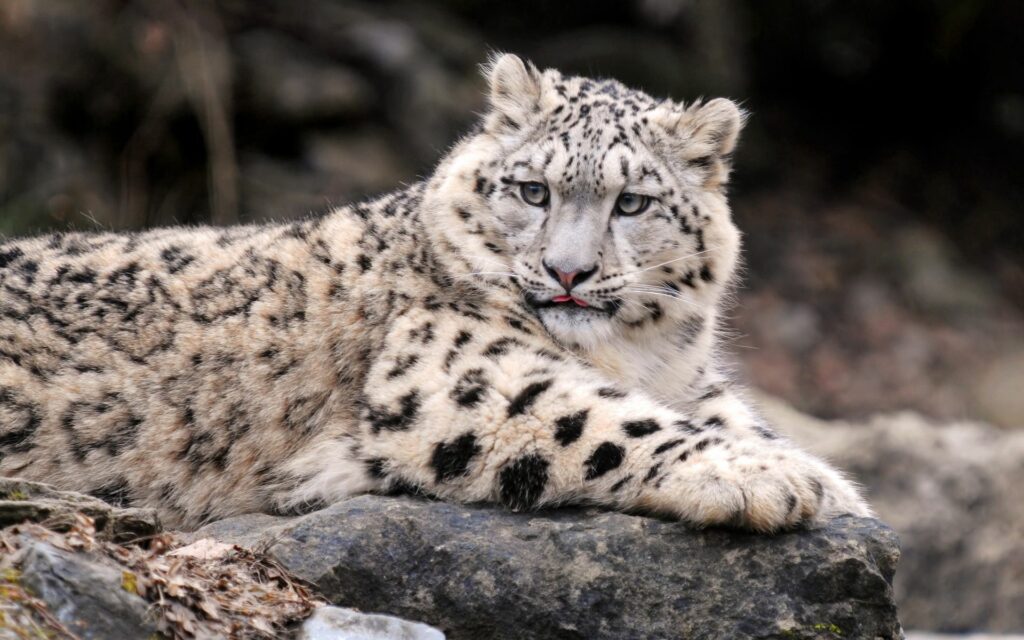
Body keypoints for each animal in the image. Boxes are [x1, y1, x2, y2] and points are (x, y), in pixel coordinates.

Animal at [0, 54, 869, 531]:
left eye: (632, 203)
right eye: (531, 190)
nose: (569, 272)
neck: (634, 355)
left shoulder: (691, 380)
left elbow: (729, 414)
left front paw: (828, 484)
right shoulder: (452, 368)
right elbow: (607, 419)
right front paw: (780, 479)